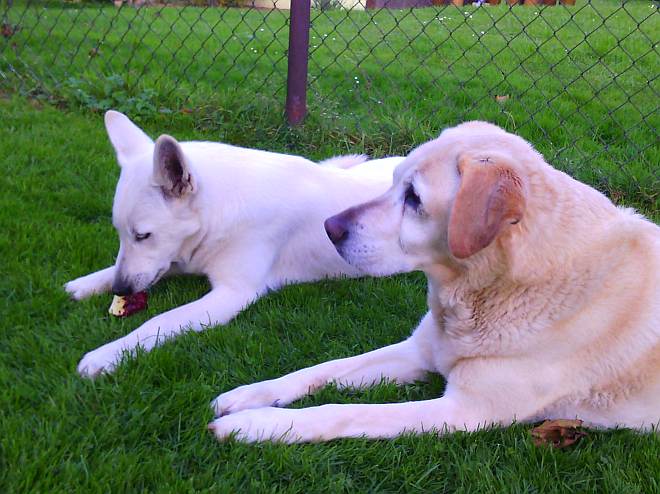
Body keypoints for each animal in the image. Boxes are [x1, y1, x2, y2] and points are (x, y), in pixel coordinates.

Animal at [65, 110, 402, 376]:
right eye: (121, 233)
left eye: (142, 236)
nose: (120, 289)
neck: (220, 208)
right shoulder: (181, 258)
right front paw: (85, 283)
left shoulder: (231, 294)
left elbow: (158, 321)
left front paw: (106, 355)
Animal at [208, 121, 660, 442]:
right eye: (392, 181)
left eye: (414, 199)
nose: (330, 227)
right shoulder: (420, 349)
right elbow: (323, 368)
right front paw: (250, 395)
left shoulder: (464, 412)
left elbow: (346, 411)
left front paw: (258, 425)